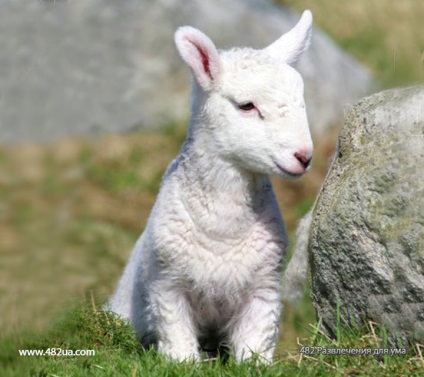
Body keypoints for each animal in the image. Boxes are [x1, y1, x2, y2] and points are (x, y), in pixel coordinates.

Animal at [107, 9, 314, 362]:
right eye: (246, 105)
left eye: (302, 101)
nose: (304, 156)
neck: (223, 231)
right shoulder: (167, 286)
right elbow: (177, 341)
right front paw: (184, 363)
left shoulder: (264, 289)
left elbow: (255, 345)